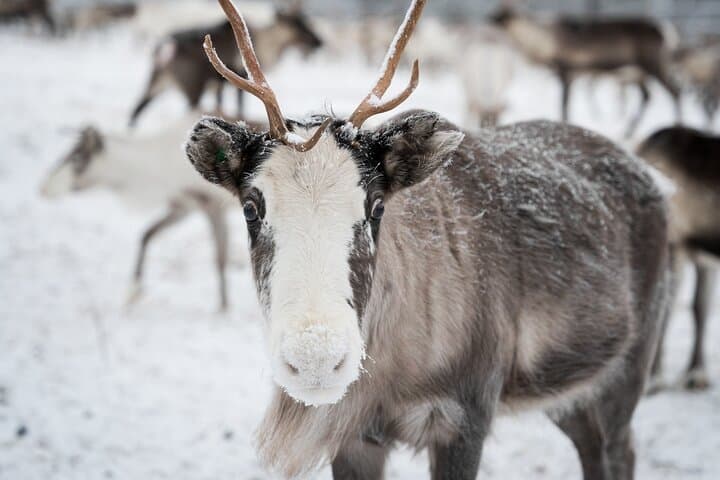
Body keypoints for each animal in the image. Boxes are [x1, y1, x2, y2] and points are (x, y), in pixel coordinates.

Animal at [40, 112, 244, 311]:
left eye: (76, 158)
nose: (43, 188)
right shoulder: (182, 207)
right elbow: (147, 235)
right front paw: (133, 290)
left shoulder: (210, 205)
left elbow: (220, 258)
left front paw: (223, 307)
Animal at [128, 4, 323, 127]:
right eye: (297, 23)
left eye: (306, 20)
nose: (319, 42)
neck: (267, 45)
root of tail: (165, 46)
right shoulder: (239, 76)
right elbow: (239, 107)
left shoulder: (219, 84)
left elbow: (221, 105)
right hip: (193, 87)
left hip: (159, 81)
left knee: (136, 110)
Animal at [490, 4, 682, 139]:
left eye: (499, 18)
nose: (486, 21)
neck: (545, 44)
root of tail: (668, 33)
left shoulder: (567, 72)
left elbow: (564, 105)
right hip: (638, 73)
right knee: (647, 96)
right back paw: (628, 131)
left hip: (653, 66)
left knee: (674, 91)